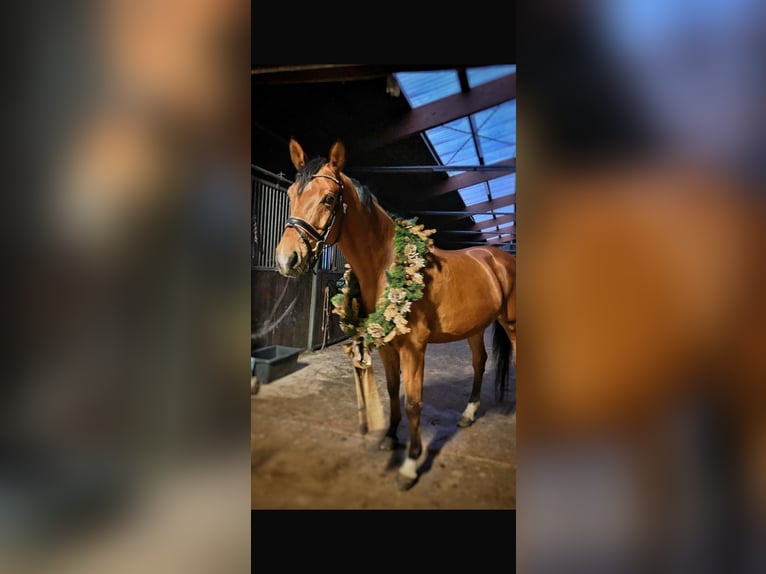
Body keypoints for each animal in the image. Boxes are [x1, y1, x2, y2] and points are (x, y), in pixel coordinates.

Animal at [274, 138, 517, 490]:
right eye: (292, 194)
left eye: (329, 198)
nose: (286, 260)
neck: (386, 264)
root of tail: (499, 257)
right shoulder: (388, 347)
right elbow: (392, 393)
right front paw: (389, 439)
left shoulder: (414, 349)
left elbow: (414, 402)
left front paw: (411, 464)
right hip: (474, 327)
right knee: (479, 362)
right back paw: (468, 415)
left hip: (511, 323)